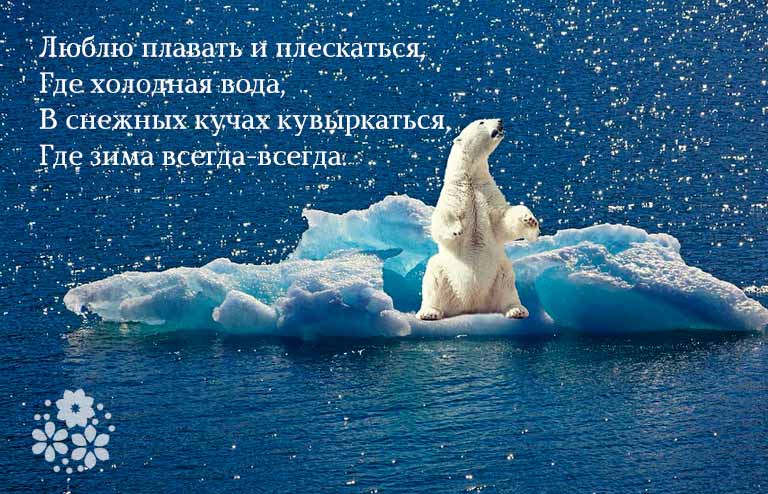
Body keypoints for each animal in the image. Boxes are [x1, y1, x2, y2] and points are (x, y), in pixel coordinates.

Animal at [417, 118, 540, 321]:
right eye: (481, 122)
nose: (500, 120)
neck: (470, 178)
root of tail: (470, 305)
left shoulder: (487, 193)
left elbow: (502, 221)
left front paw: (529, 220)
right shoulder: (454, 194)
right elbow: (442, 219)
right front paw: (456, 229)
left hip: (498, 272)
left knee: (507, 283)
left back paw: (516, 310)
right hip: (445, 272)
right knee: (434, 276)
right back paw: (429, 312)